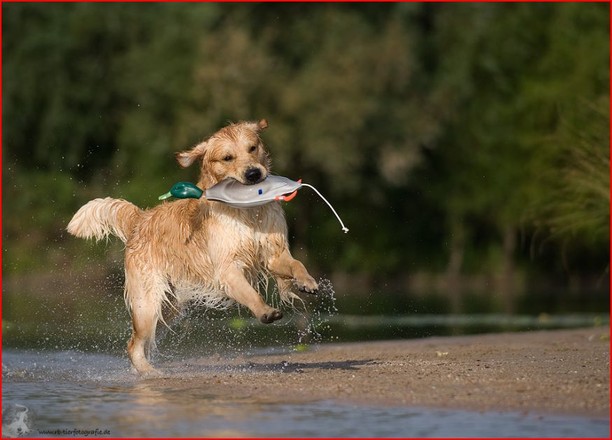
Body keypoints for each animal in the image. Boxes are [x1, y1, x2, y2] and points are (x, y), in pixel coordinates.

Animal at [67, 120, 318, 374]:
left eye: (252, 148)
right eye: (227, 157)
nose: (254, 173)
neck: (247, 210)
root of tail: (141, 219)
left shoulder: (273, 254)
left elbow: (295, 264)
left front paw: (307, 282)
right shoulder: (227, 268)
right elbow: (249, 293)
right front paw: (265, 311)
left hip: (170, 306)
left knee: (142, 341)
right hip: (147, 303)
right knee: (133, 344)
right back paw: (151, 373)